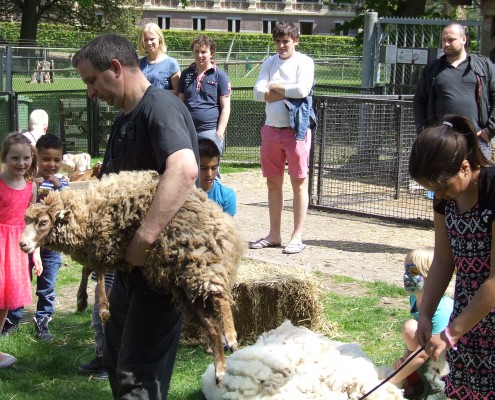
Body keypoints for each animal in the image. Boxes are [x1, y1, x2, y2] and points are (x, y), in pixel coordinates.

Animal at [20, 170, 246, 382]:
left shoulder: (103, 241)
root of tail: (227, 226)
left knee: (221, 297)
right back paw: (220, 369)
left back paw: (231, 336)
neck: (87, 211)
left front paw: (103, 308)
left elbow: (98, 273)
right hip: (184, 285)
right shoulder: (98, 248)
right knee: (212, 327)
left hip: (202, 261)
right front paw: (81, 300)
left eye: (42, 222)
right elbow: (87, 270)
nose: (23, 244)